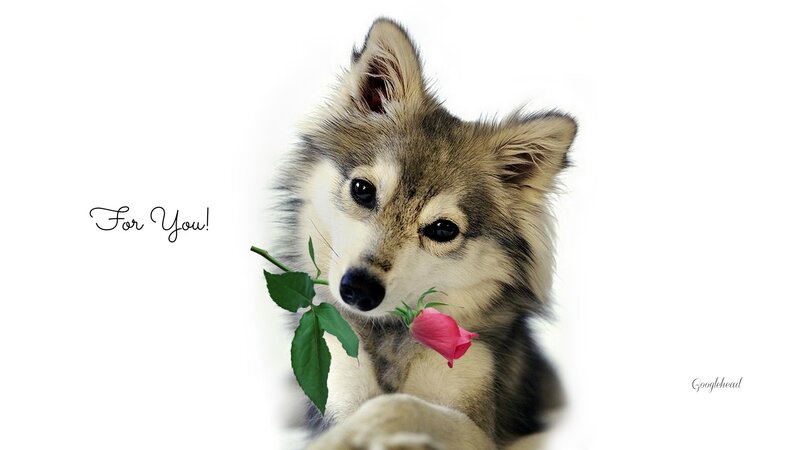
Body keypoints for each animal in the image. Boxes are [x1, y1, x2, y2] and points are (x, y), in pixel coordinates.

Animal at [271, 18, 577, 450]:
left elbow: (397, 405)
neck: (389, 334)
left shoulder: (478, 421)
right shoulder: (334, 381)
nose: (358, 290)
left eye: (443, 229)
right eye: (362, 189)